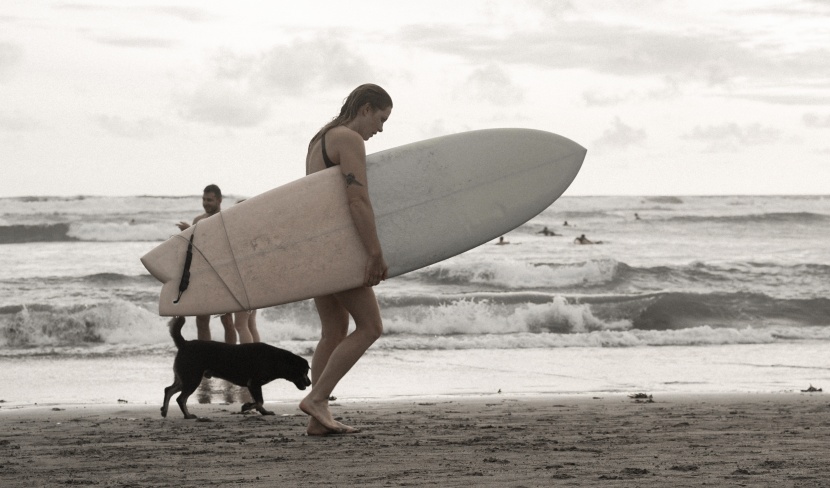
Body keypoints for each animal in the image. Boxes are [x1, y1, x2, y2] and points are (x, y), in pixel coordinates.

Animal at [161, 316, 310, 420]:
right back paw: (187, 415)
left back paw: (164, 410)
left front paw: (264, 412)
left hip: (184, 378)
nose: (310, 383)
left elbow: (260, 402)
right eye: (305, 371)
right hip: (192, 378)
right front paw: (247, 406)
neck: (277, 360)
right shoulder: (254, 383)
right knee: (181, 399)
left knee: (168, 390)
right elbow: (259, 401)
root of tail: (184, 343)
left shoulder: (254, 385)